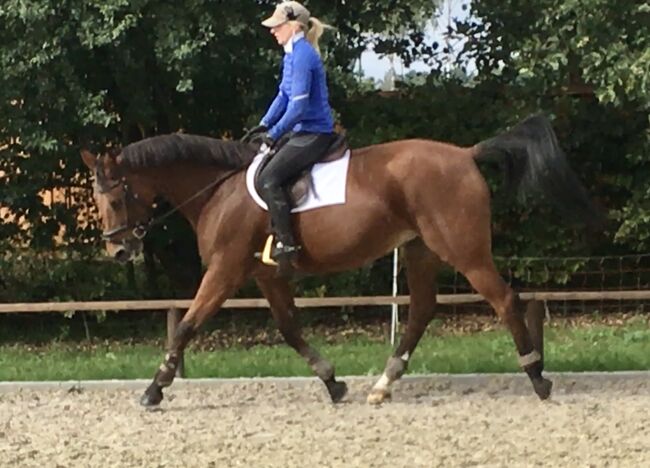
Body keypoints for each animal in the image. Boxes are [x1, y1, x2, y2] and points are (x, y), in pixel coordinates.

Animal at [82, 113, 604, 406]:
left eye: (116, 197)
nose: (118, 249)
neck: (219, 189)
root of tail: (465, 154)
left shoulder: (225, 271)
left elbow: (187, 326)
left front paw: (154, 389)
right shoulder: (265, 276)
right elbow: (290, 329)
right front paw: (333, 383)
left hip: (462, 248)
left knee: (503, 300)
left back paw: (538, 378)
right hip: (419, 248)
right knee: (421, 309)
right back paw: (383, 385)